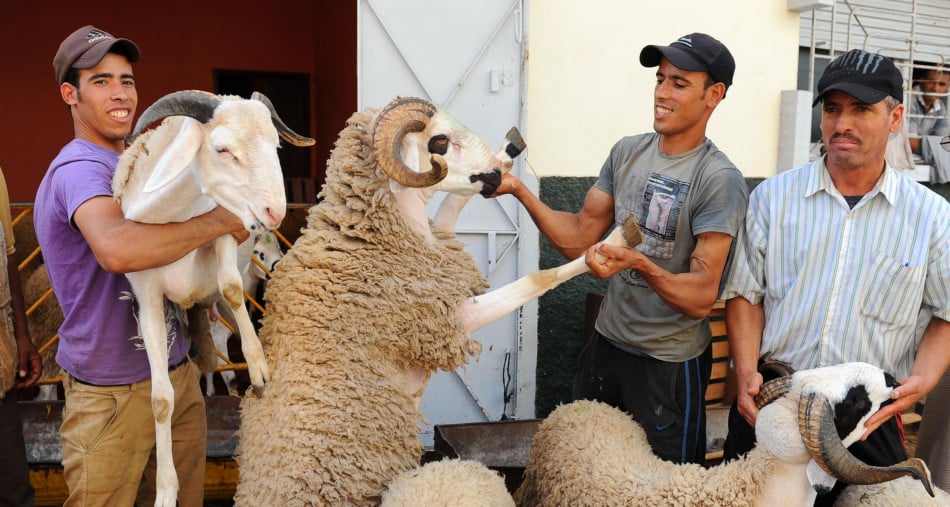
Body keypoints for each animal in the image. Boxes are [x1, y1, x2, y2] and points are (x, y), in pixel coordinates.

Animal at [112, 89, 312, 506]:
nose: (275, 211)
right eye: (222, 149)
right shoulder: (147, 298)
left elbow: (232, 286)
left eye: (276, 145)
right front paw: (165, 491)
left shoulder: (222, 231)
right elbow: (160, 401)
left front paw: (258, 367)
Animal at [235, 97, 644, 506]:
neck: (369, 238)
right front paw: (615, 243)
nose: (496, 170)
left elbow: (453, 203)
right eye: (441, 142)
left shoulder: (440, 256)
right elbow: (536, 279)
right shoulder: (440, 322)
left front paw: (508, 152)